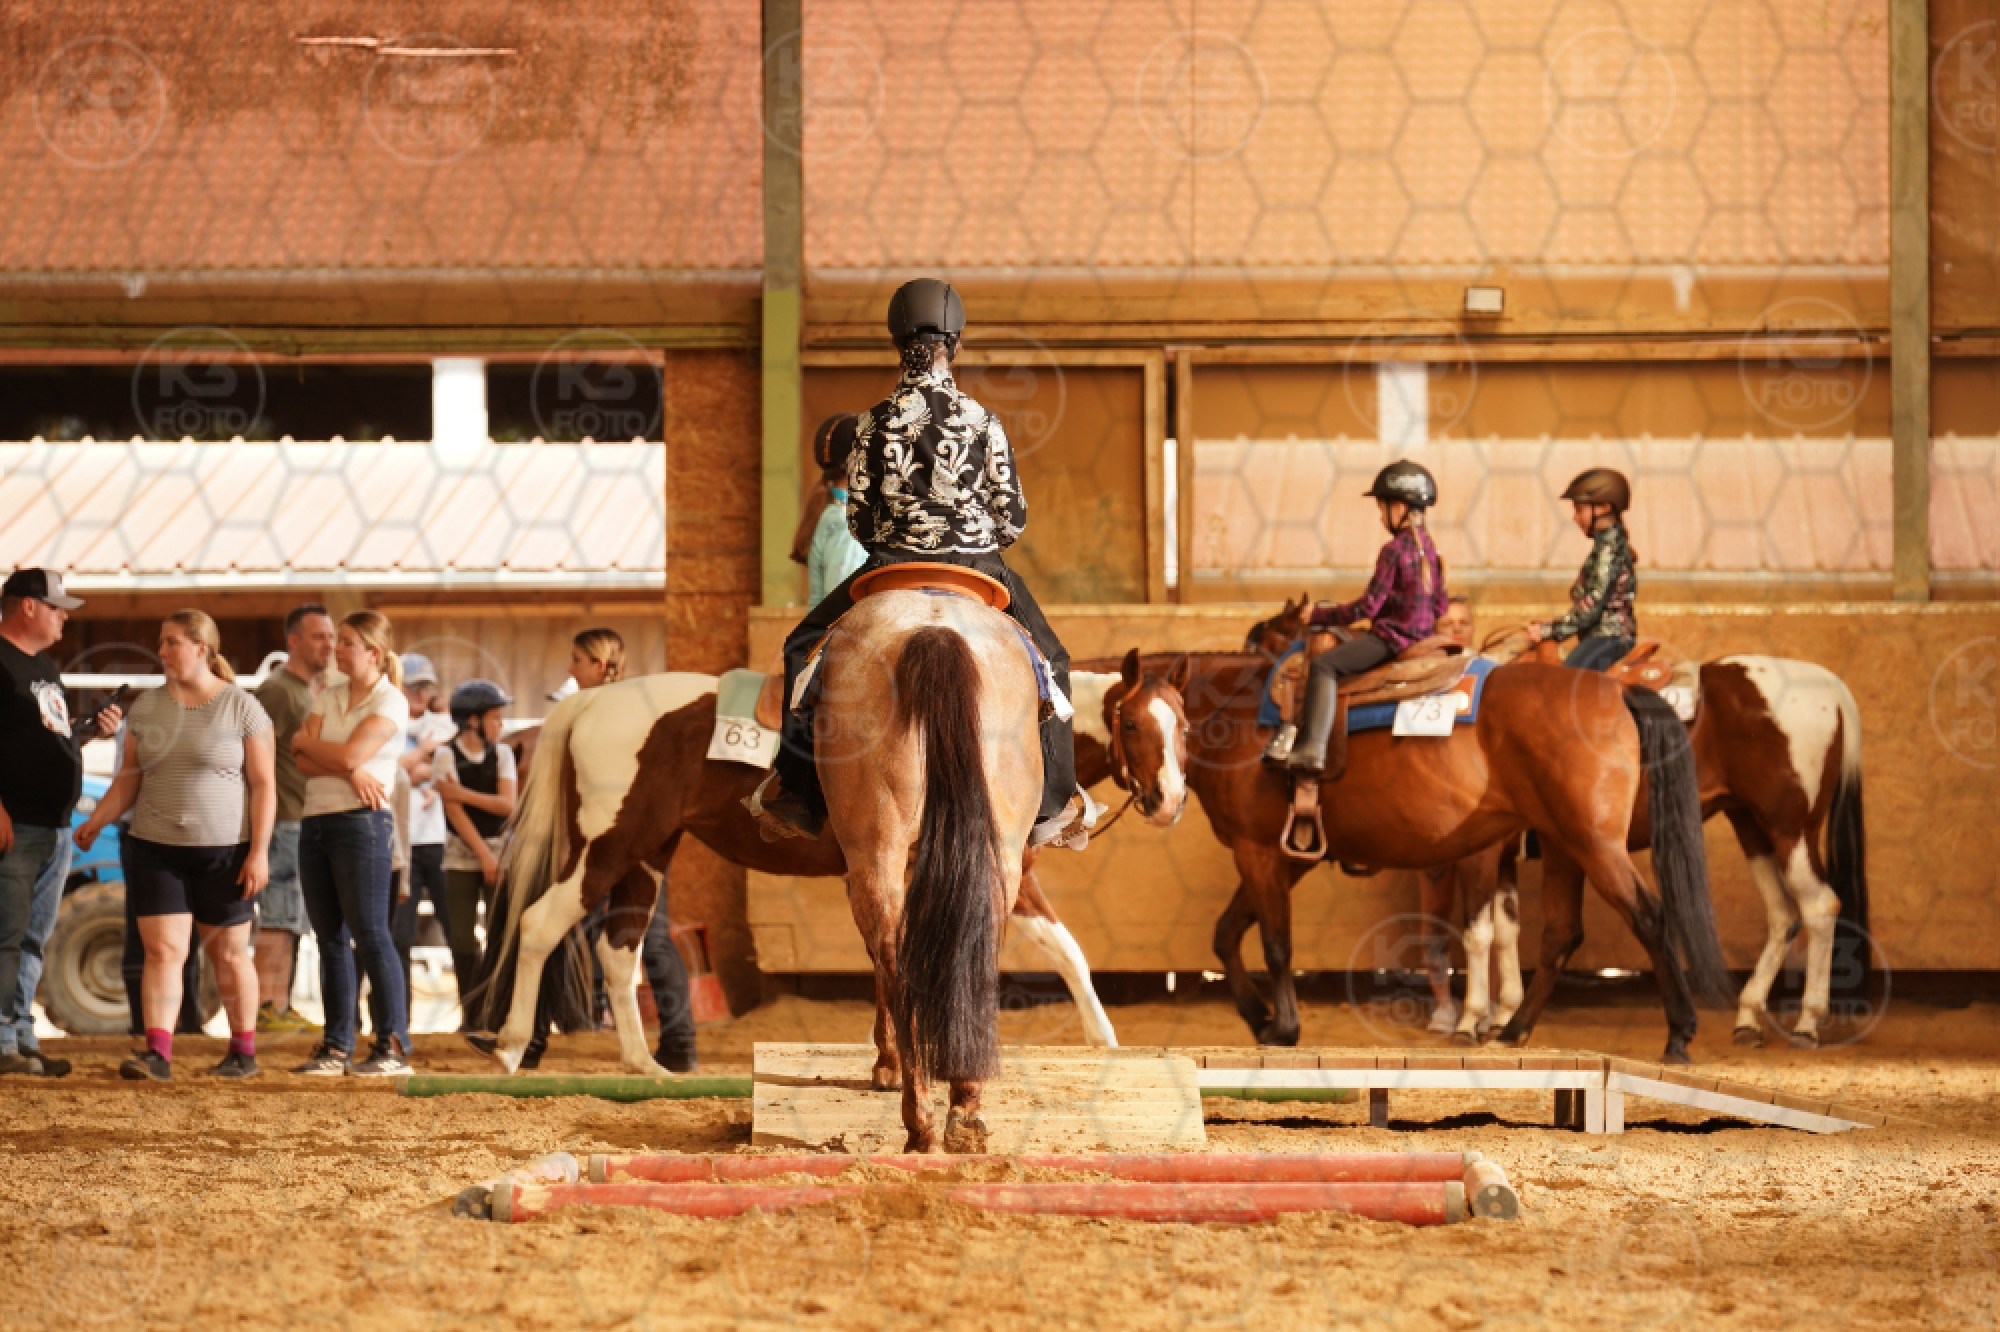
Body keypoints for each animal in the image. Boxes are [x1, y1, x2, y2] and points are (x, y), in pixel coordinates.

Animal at [467, 655, 1191, 1075]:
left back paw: (645, 1064)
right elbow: (1061, 951)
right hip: (608, 843)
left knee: (619, 950)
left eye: (1183, 724)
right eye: (1132, 725)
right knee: (540, 925)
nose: (1169, 801)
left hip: (647, 853)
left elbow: (1056, 952)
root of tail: (593, 700)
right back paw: (510, 1046)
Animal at [1112, 646, 1732, 1064]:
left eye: (1179, 723)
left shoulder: (1261, 851)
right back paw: (1516, 1029)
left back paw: (1679, 1032)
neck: (1242, 717)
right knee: (1561, 933)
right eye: (1131, 721)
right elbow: (1225, 934)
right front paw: (1257, 1015)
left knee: (1650, 916)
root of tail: (1615, 690)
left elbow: (1275, 942)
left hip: (1595, 845)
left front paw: (1283, 1026)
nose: (1164, 800)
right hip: (1564, 845)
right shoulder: (1287, 858)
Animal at [1249, 598, 1871, 1047]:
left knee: (1819, 906)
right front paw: (1502, 1013)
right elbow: (1509, 929)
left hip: (1788, 825)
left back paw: (1807, 1020)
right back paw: (1746, 1016)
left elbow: (1480, 932)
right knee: (1784, 913)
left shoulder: (1485, 850)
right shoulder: (1511, 850)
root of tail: (1832, 687)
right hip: (1752, 824)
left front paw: (1476, 1019)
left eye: (1261, 643)